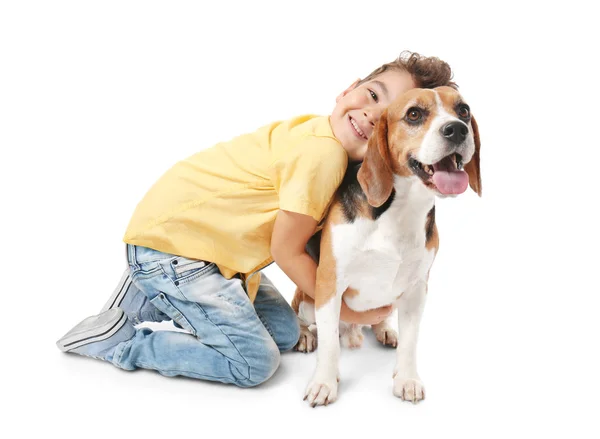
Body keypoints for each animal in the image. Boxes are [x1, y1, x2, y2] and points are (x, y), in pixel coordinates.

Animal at [290, 87, 482, 410]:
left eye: (464, 110)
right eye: (414, 114)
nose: (457, 129)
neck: (402, 210)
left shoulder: (417, 290)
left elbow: (411, 342)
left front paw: (407, 379)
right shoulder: (329, 283)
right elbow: (329, 346)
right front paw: (324, 384)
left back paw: (385, 330)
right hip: (307, 301)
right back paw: (305, 334)